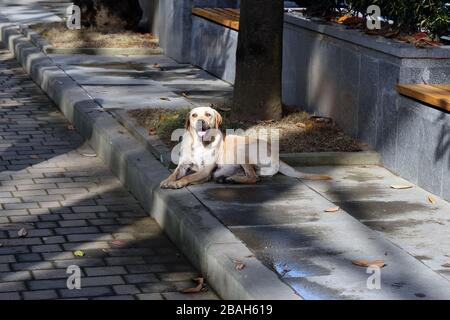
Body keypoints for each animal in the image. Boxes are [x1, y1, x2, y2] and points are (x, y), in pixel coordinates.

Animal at [160, 107, 332, 190]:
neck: (199, 143)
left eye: (208, 114)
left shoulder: (205, 171)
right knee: (253, 174)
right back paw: (229, 178)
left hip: (242, 150)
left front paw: (177, 183)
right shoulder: (183, 165)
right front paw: (167, 180)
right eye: (194, 115)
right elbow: (175, 173)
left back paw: (232, 179)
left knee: (254, 177)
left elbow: (188, 177)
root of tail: (275, 154)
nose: (200, 122)